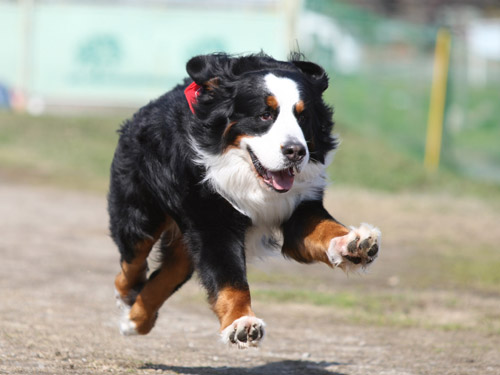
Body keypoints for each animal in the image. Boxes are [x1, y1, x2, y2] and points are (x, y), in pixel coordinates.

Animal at [109, 53, 380, 350]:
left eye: (303, 115)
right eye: (265, 115)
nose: (296, 151)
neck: (253, 181)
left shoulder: (300, 205)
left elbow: (324, 228)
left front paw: (353, 243)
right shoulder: (212, 220)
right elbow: (230, 278)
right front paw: (242, 323)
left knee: (170, 272)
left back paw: (136, 320)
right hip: (140, 214)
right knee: (132, 261)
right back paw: (127, 298)